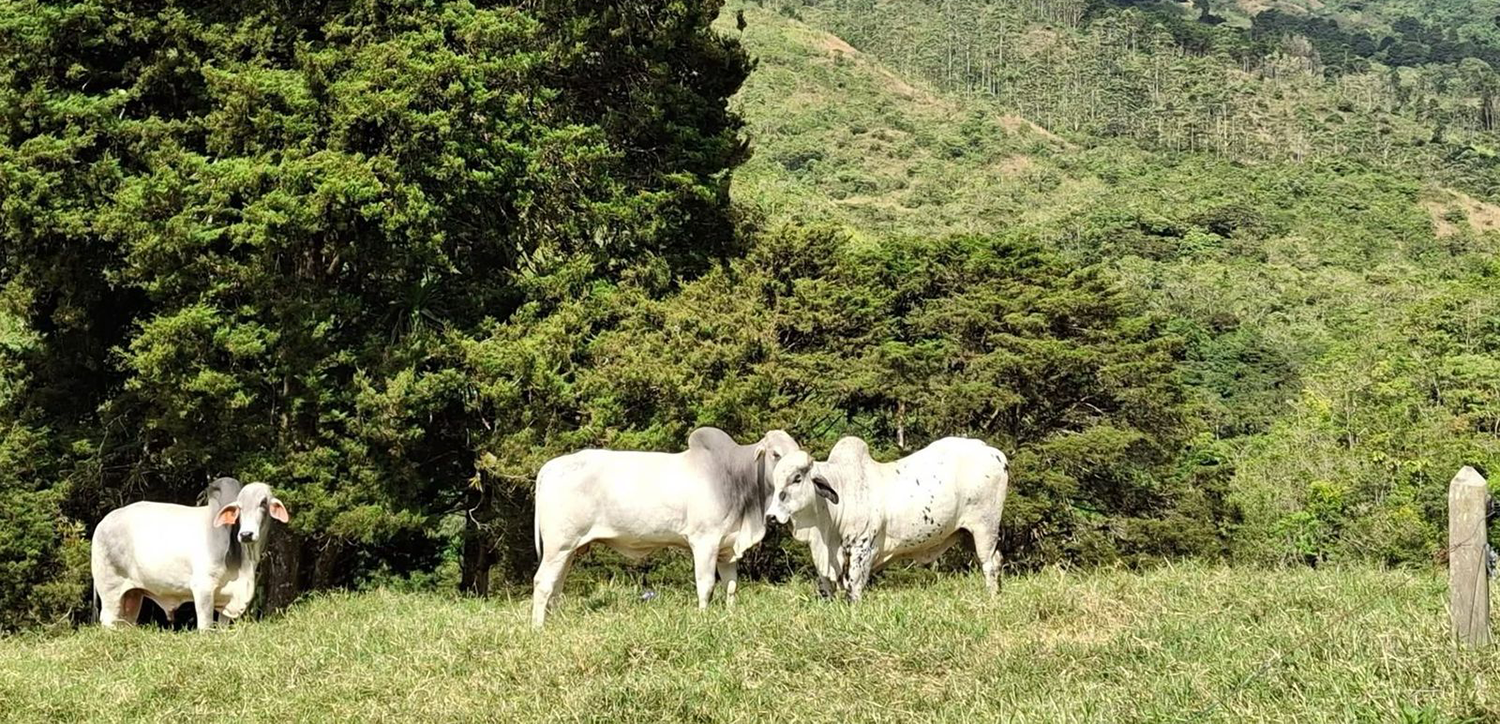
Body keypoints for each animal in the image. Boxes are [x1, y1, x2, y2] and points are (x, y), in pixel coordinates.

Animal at [91, 476, 289, 629]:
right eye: (239, 507)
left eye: (263, 503)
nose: (246, 534)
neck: (244, 561)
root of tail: (102, 523)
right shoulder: (203, 588)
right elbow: (205, 625)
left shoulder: (227, 600)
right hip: (110, 588)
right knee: (108, 619)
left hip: (133, 595)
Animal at [534, 428, 804, 626]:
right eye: (776, 454)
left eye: (796, 450)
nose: (799, 474)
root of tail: (550, 467)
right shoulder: (704, 542)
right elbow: (706, 584)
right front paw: (703, 618)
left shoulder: (727, 548)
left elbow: (731, 586)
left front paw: (730, 615)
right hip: (558, 546)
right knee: (543, 583)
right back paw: (539, 628)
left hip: (568, 549)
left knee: (556, 586)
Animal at [768, 437, 1014, 599]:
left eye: (797, 478)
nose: (771, 516)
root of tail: (995, 453)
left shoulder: (862, 549)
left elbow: (854, 589)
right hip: (966, 534)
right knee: (997, 559)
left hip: (985, 528)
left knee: (989, 564)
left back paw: (991, 599)